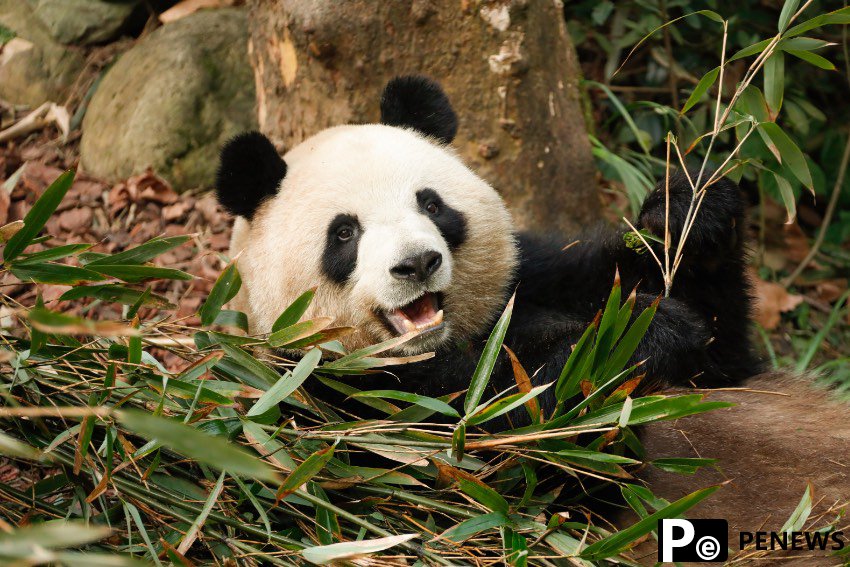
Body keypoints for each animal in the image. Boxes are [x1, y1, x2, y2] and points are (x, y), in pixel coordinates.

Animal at [219, 77, 848, 564]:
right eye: (345, 233)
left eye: (431, 204)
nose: (417, 264)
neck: (456, 340)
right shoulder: (338, 405)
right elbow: (522, 452)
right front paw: (639, 337)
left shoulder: (535, 278)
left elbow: (721, 363)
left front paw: (686, 213)